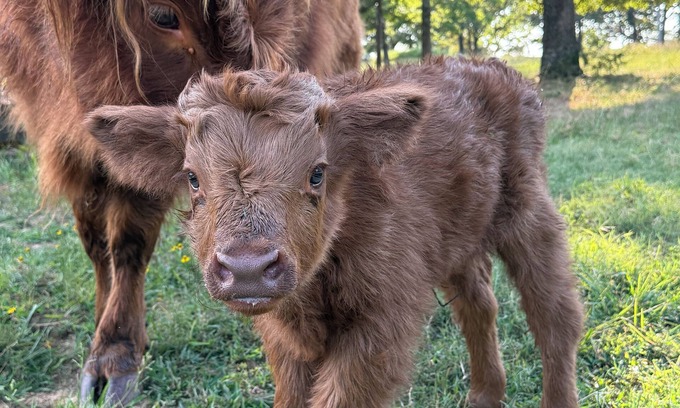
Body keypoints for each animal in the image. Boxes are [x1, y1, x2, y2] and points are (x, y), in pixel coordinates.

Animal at [0, 0, 362, 404]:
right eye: (162, 16)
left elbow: (128, 245)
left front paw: (116, 356)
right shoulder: (80, 151)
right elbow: (97, 247)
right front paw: (102, 330)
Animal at [86, 57, 584, 407]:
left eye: (317, 173)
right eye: (191, 178)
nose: (248, 268)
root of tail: (498, 72)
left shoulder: (381, 324)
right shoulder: (286, 339)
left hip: (528, 213)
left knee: (554, 314)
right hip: (458, 240)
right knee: (479, 305)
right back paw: (484, 395)